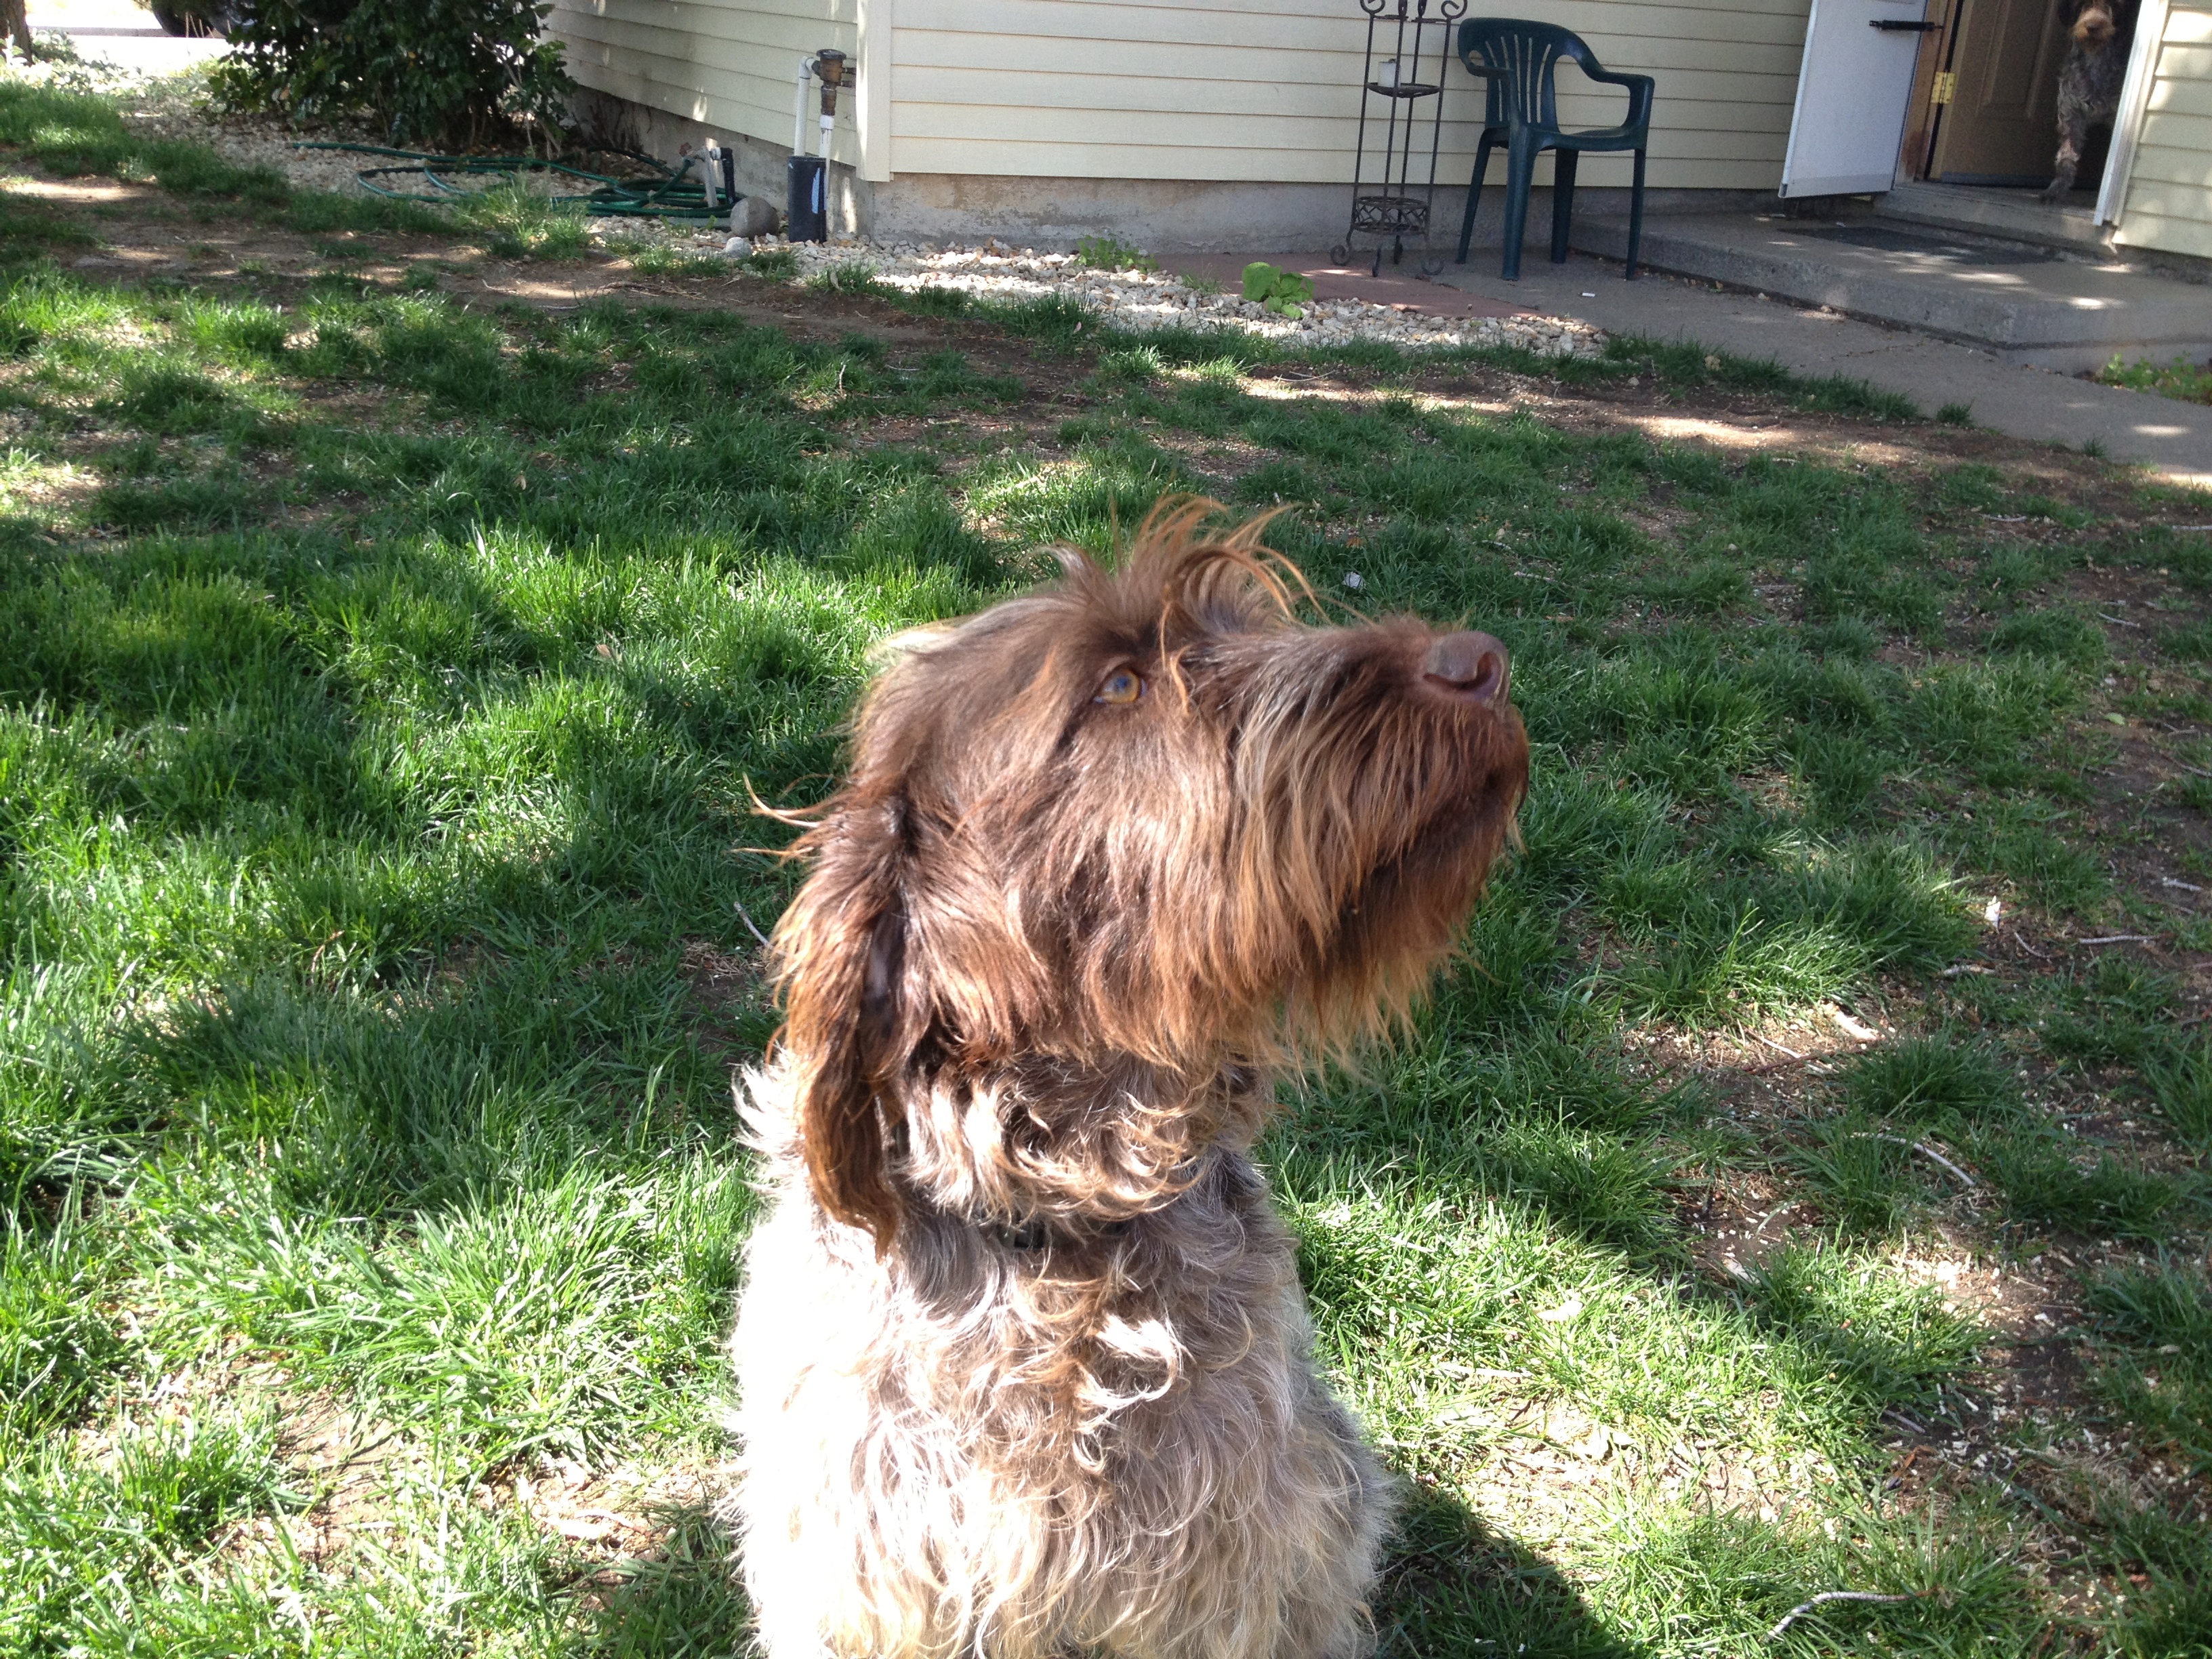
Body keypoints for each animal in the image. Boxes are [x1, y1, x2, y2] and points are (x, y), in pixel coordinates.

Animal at [2044, 0, 2138, 202]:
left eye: (2113, 4)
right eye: (2082, 4)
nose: (2093, 27)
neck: (2096, 56)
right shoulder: (2071, 114)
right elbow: (2066, 156)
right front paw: (2057, 189)